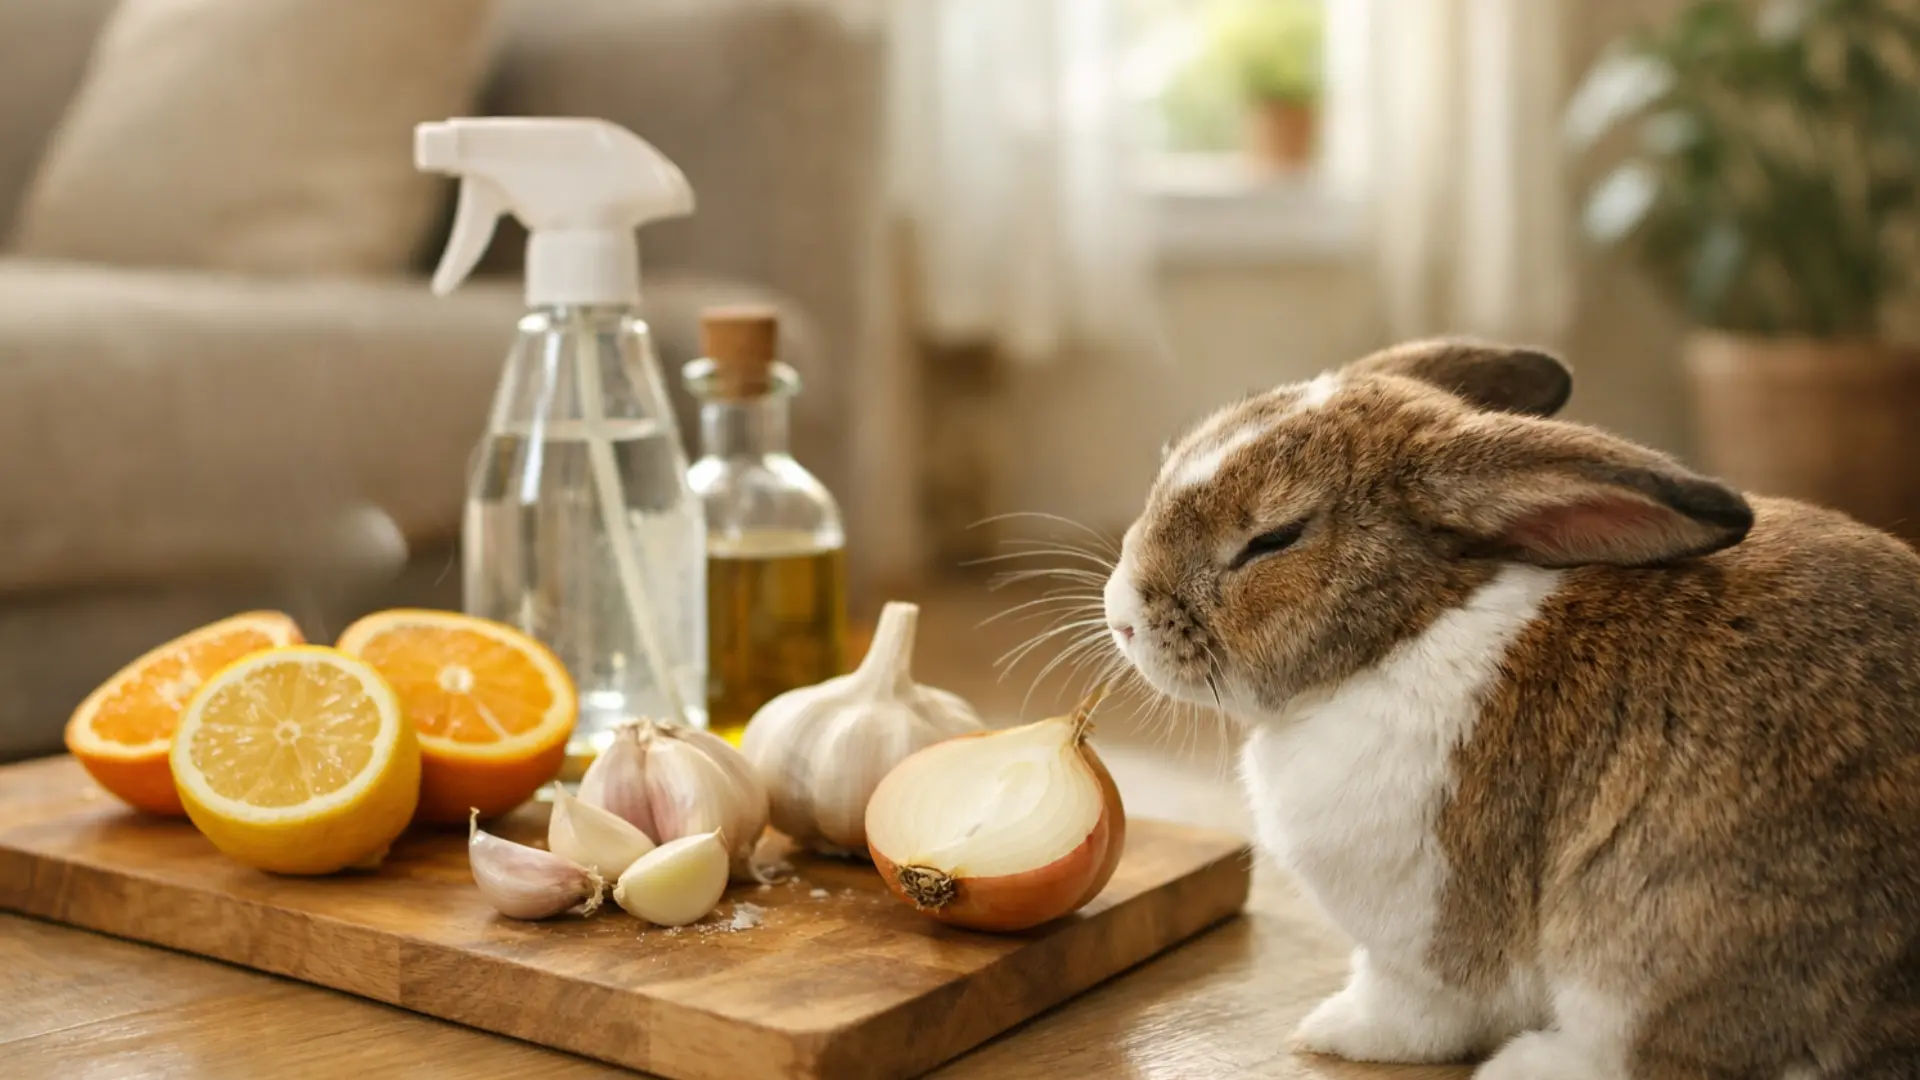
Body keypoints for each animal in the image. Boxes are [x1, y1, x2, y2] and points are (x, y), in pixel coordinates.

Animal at [1100, 339, 1920, 1080]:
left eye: (1274, 537)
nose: (1122, 618)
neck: (1407, 630)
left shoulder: (1425, 940)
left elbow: (1412, 1009)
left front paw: (1334, 1031)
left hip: (1644, 944)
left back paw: (1523, 1065)